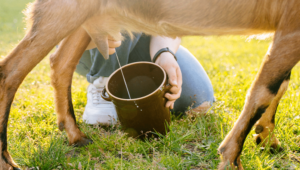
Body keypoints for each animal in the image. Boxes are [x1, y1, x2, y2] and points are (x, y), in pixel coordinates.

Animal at [0, 0, 300, 169]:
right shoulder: (292, 23)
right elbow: (264, 90)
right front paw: (231, 159)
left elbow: (280, 85)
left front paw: (267, 140)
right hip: (64, 10)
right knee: (10, 72)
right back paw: (7, 162)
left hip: (88, 18)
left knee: (60, 62)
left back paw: (76, 136)